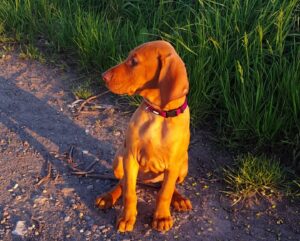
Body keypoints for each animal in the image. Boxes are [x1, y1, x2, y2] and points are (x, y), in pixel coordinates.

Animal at [95, 40, 191, 233]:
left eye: (134, 61)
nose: (103, 76)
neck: (159, 114)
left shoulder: (173, 164)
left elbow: (165, 192)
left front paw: (161, 217)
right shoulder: (131, 157)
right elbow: (129, 193)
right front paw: (127, 217)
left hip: (184, 164)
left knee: (167, 186)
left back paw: (180, 199)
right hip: (119, 159)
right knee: (123, 183)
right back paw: (108, 197)